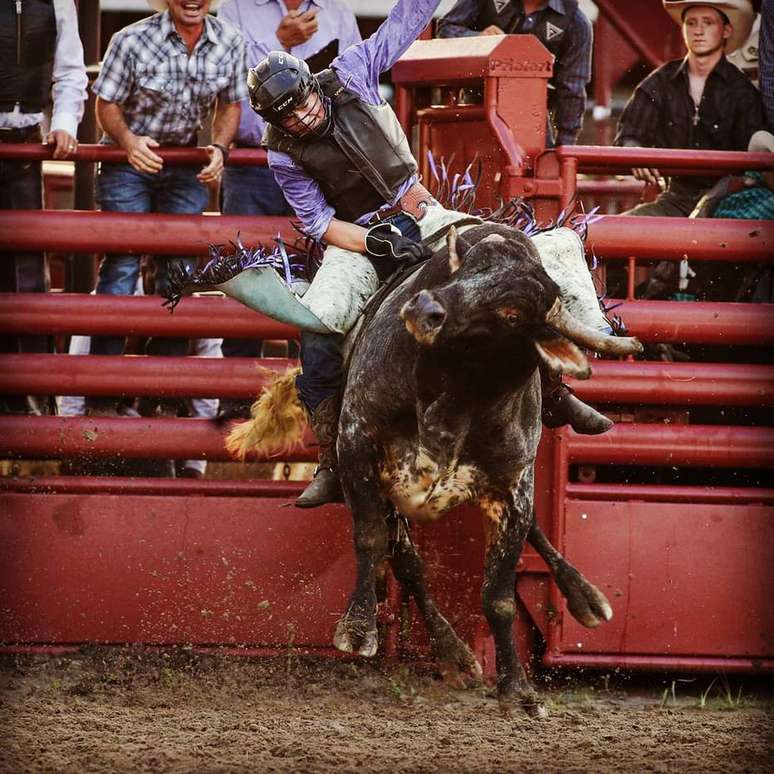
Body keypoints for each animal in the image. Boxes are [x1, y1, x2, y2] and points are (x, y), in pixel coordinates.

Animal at [224, 221, 644, 720]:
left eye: (512, 312)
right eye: (464, 271)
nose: (425, 308)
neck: (455, 398)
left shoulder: (513, 489)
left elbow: (499, 596)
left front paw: (518, 689)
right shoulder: (358, 445)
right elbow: (374, 541)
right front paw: (358, 629)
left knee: (533, 533)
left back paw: (584, 598)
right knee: (409, 565)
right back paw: (453, 652)